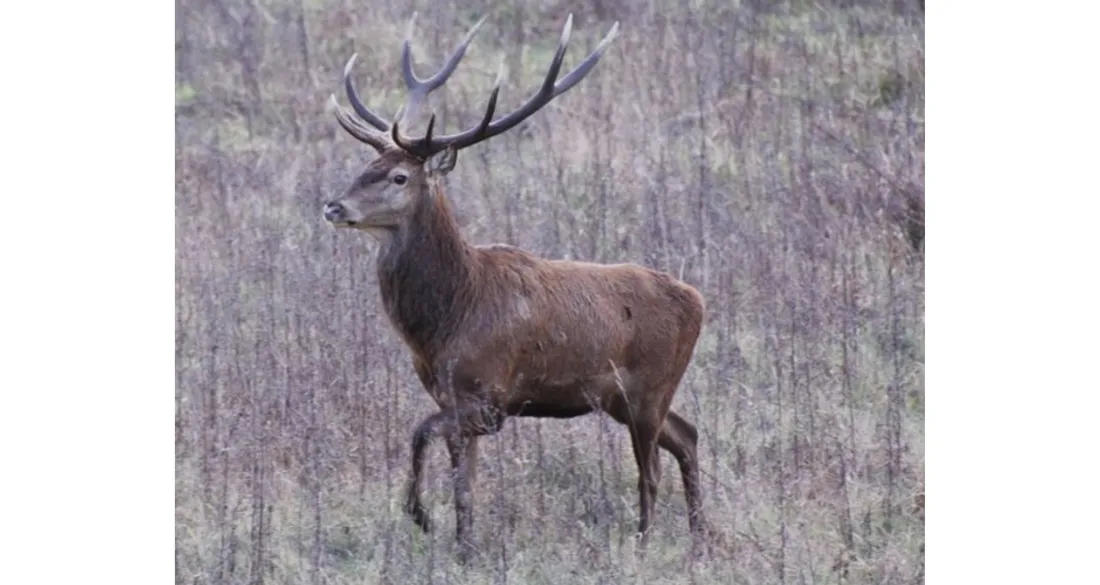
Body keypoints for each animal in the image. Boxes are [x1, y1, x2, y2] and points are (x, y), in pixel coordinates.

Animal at [322, 14, 709, 561]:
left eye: (398, 177)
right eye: (364, 168)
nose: (334, 206)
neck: (443, 323)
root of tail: (698, 299)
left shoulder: (489, 397)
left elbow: (419, 435)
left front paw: (421, 517)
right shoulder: (451, 396)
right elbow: (464, 486)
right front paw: (464, 549)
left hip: (650, 387)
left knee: (650, 468)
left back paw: (643, 544)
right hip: (629, 398)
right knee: (688, 435)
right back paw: (699, 538)